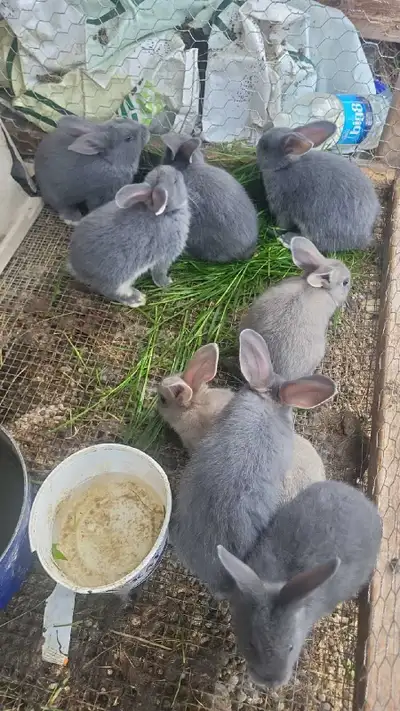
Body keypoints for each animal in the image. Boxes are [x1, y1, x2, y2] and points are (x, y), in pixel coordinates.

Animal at [67, 165, 190, 307]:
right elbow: (159, 272)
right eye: (175, 181)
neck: (164, 213)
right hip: (117, 277)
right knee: (111, 291)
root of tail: (77, 267)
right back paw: (137, 299)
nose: (177, 170)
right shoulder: (166, 256)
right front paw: (167, 283)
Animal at [256, 120, 380, 252]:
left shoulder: (282, 208)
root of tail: (363, 238)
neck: (285, 166)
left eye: (264, 146)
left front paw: (274, 229)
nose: (257, 146)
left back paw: (287, 239)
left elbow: (283, 224)